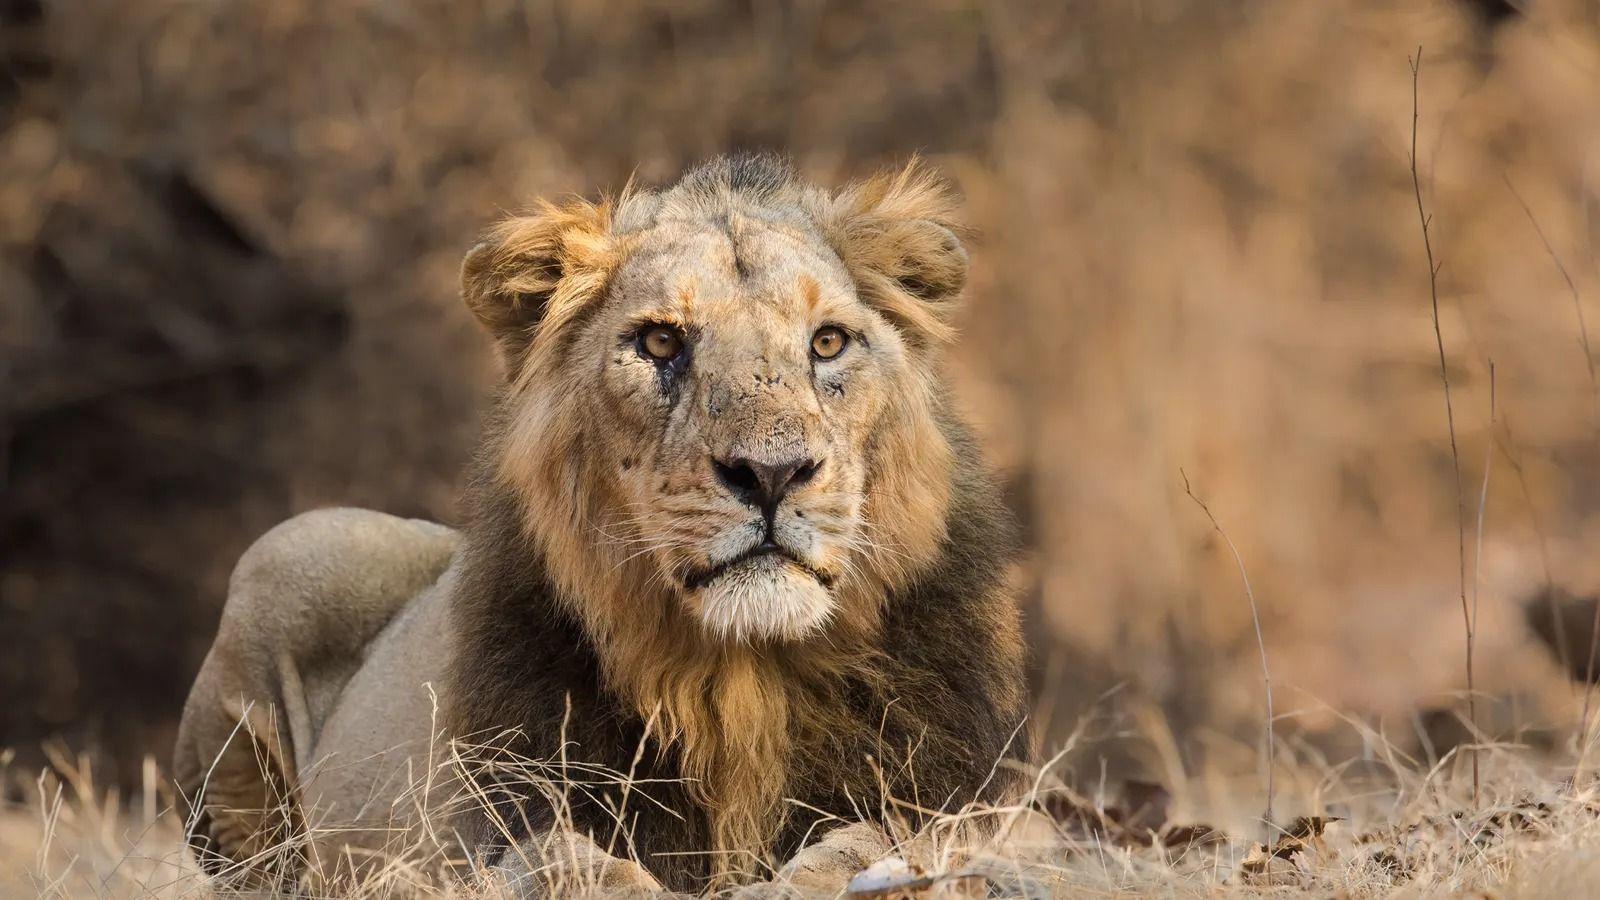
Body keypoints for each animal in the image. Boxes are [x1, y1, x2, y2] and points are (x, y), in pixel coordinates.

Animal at [172, 153, 1024, 890]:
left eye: (828, 342)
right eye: (660, 340)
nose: (772, 474)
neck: (740, 679)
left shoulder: (951, 798)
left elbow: (881, 840)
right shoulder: (497, 816)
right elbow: (560, 859)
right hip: (291, 550)